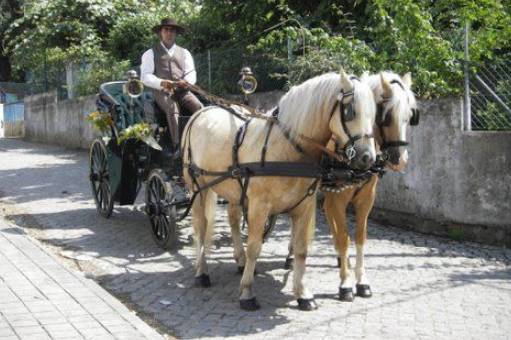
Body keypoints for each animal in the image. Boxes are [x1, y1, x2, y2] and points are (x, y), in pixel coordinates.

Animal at [183, 69, 376, 310]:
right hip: (199, 188)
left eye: (375, 113)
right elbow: (254, 247)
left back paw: (239, 261)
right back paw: (202, 272)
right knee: (201, 227)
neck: (287, 148)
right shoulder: (259, 206)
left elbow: (301, 249)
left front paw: (303, 294)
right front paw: (247, 293)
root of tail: (202, 112)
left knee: (233, 220)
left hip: (233, 190)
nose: (368, 158)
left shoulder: (304, 206)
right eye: (350, 111)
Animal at [324, 71, 420, 300]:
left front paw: (361, 281)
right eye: (386, 116)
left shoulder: (366, 199)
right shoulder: (339, 196)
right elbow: (345, 237)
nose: (400, 160)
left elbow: (360, 237)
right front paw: (345, 284)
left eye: (409, 116)